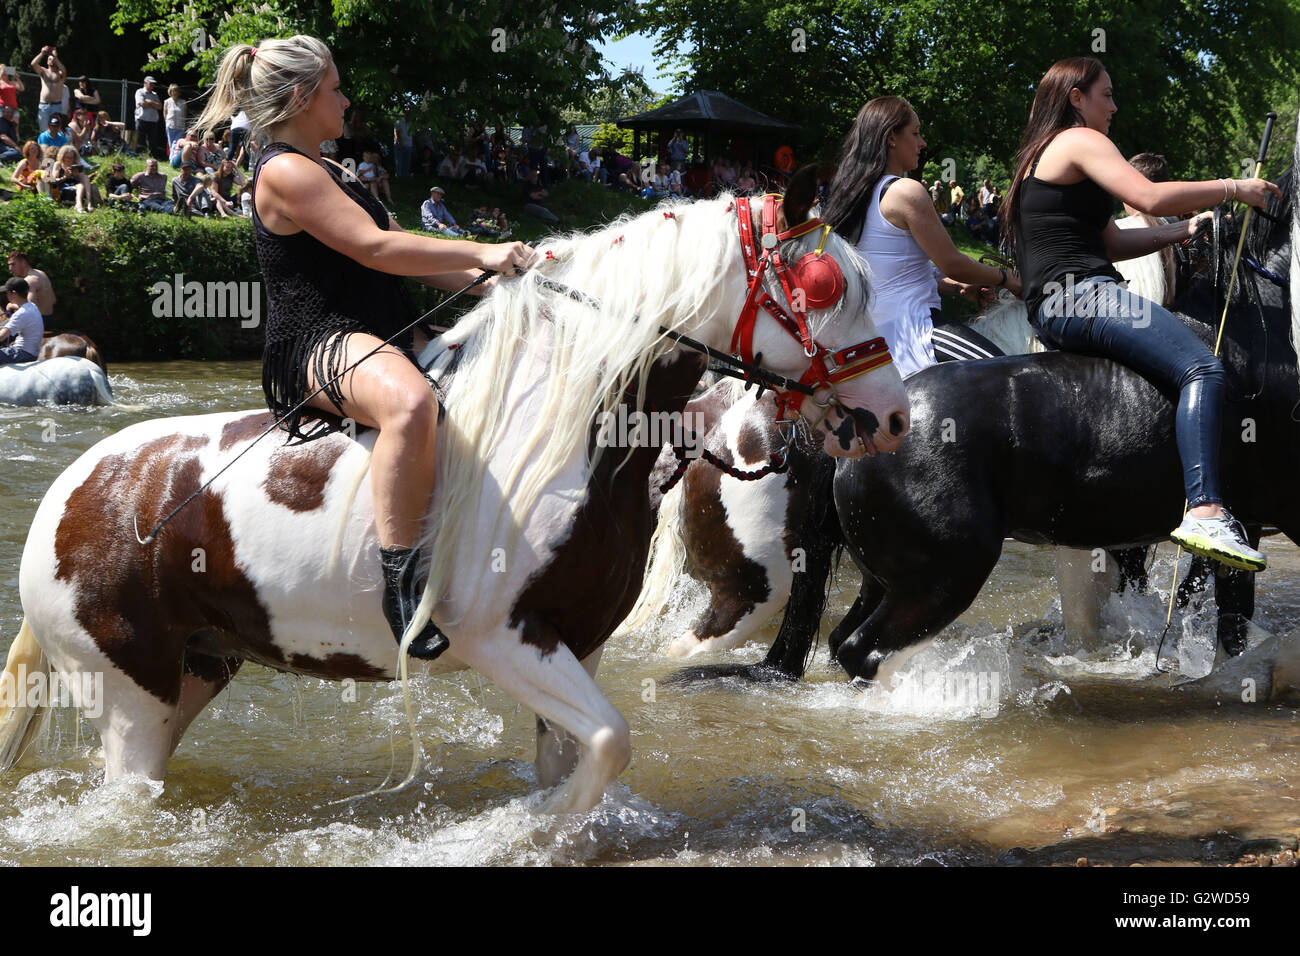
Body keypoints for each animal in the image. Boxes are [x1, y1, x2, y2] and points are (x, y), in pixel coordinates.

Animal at [0, 167, 909, 811]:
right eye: (825, 287)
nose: (893, 415)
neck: (564, 430)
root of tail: (72, 493)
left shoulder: (577, 641)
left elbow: (577, 760)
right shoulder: (504, 637)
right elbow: (612, 744)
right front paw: (528, 833)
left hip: (198, 669)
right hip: (131, 697)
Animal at [759, 166, 1294, 686]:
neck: (1262, 339)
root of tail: (861, 429)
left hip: (887, 574)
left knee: (842, 641)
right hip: (945, 574)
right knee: (865, 651)